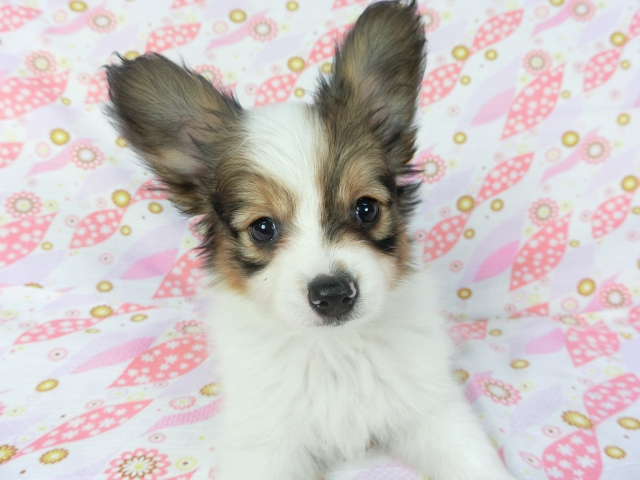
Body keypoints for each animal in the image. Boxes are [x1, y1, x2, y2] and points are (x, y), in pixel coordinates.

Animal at [105, 2, 515, 479]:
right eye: (263, 228)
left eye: (366, 209)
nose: (333, 294)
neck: (334, 350)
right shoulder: (264, 445)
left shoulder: (433, 410)